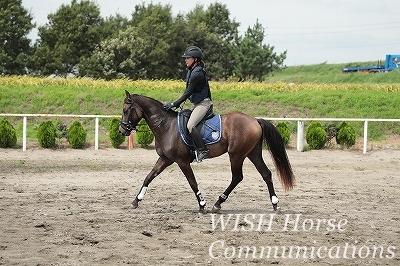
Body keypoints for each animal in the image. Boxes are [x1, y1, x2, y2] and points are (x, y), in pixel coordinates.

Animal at [119, 90, 294, 213]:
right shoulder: (165, 159)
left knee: (237, 177)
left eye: (126, 110)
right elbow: (149, 177)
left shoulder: (181, 161)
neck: (165, 125)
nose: (121, 131)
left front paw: (202, 204)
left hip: (236, 155)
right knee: (266, 174)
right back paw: (275, 204)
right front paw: (136, 201)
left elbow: (192, 182)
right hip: (253, 153)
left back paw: (217, 204)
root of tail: (255, 120)